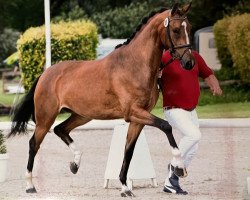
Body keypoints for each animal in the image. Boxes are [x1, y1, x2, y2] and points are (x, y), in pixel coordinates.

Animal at [8, 2, 193, 197]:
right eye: (175, 30)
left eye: (189, 28)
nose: (189, 63)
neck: (135, 65)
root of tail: (45, 74)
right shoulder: (133, 112)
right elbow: (166, 126)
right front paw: (179, 168)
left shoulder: (138, 119)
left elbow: (129, 150)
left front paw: (125, 187)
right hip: (46, 118)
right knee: (34, 144)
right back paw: (30, 185)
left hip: (82, 115)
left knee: (60, 129)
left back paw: (75, 164)